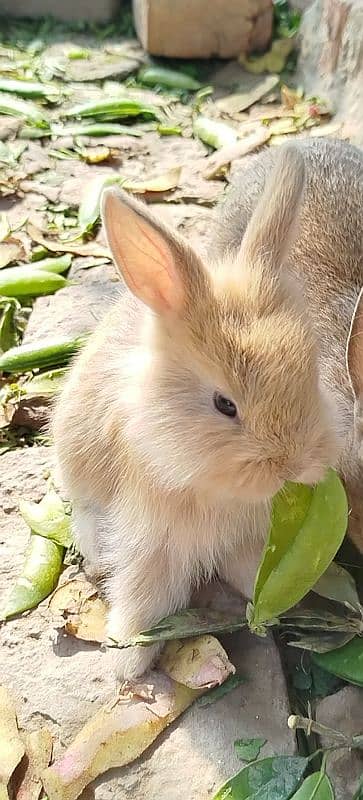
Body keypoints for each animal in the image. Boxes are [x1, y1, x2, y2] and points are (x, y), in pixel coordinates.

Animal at [52, 141, 362, 680]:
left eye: (308, 376)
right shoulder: (151, 544)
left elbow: (250, 574)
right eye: (224, 404)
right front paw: (127, 664)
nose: (295, 466)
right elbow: (142, 600)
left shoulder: (253, 542)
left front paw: (272, 612)